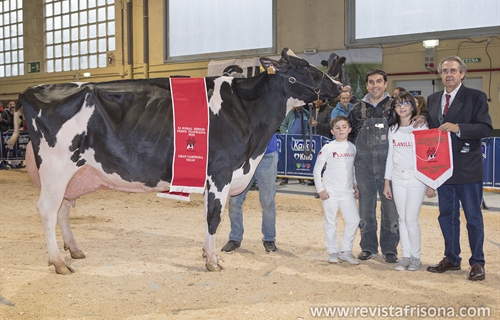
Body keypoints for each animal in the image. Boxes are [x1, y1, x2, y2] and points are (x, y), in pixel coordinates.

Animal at [8, 48, 344, 276]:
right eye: (304, 67)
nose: (340, 87)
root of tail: (32, 90)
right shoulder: (220, 172)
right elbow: (214, 218)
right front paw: (212, 262)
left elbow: (210, 219)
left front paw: (211, 256)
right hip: (56, 167)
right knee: (47, 210)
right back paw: (58, 262)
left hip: (73, 174)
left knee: (63, 209)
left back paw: (75, 251)